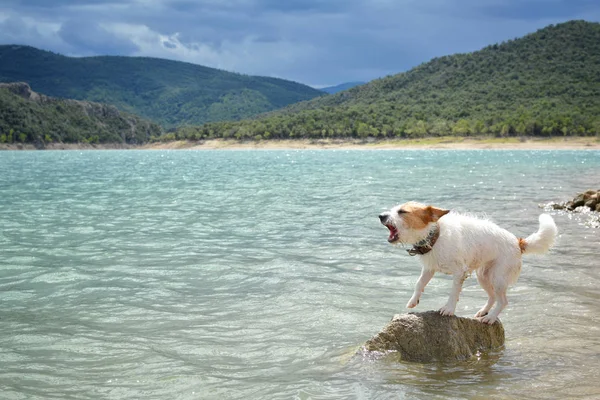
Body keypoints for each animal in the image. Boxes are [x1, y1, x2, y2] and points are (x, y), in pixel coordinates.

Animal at [380, 203, 556, 324]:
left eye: (402, 212)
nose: (381, 215)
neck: (435, 236)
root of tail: (518, 243)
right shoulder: (429, 268)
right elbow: (419, 283)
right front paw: (413, 300)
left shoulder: (459, 272)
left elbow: (453, 292)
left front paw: (449, 309)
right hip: (483, 276)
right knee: (492, 297)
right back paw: (483, 312)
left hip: (498, 278)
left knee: (503, 301)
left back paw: (491, 318)